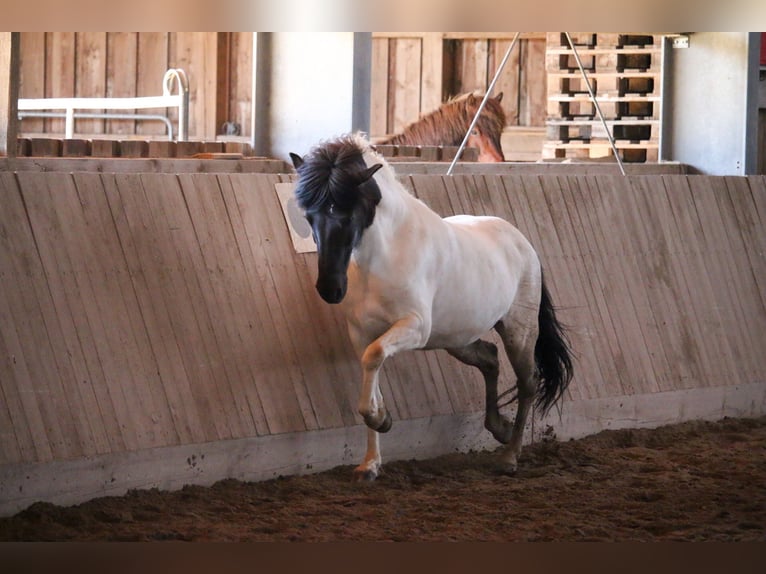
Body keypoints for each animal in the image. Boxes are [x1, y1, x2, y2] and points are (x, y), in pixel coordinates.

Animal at [292, 134, 572, 482]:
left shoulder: (414, 327)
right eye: (309, 217)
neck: (385, 256)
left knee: (528, 383)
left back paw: (510, 456)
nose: (330, 289)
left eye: (346, 213)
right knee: (489, 359)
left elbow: (375, 358)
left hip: (519, 333)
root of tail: (523, 244)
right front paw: (371, 461)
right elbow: (371, 369)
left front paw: (380, 419)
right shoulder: (362, 334)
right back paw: (500, 429)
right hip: (456, 339)